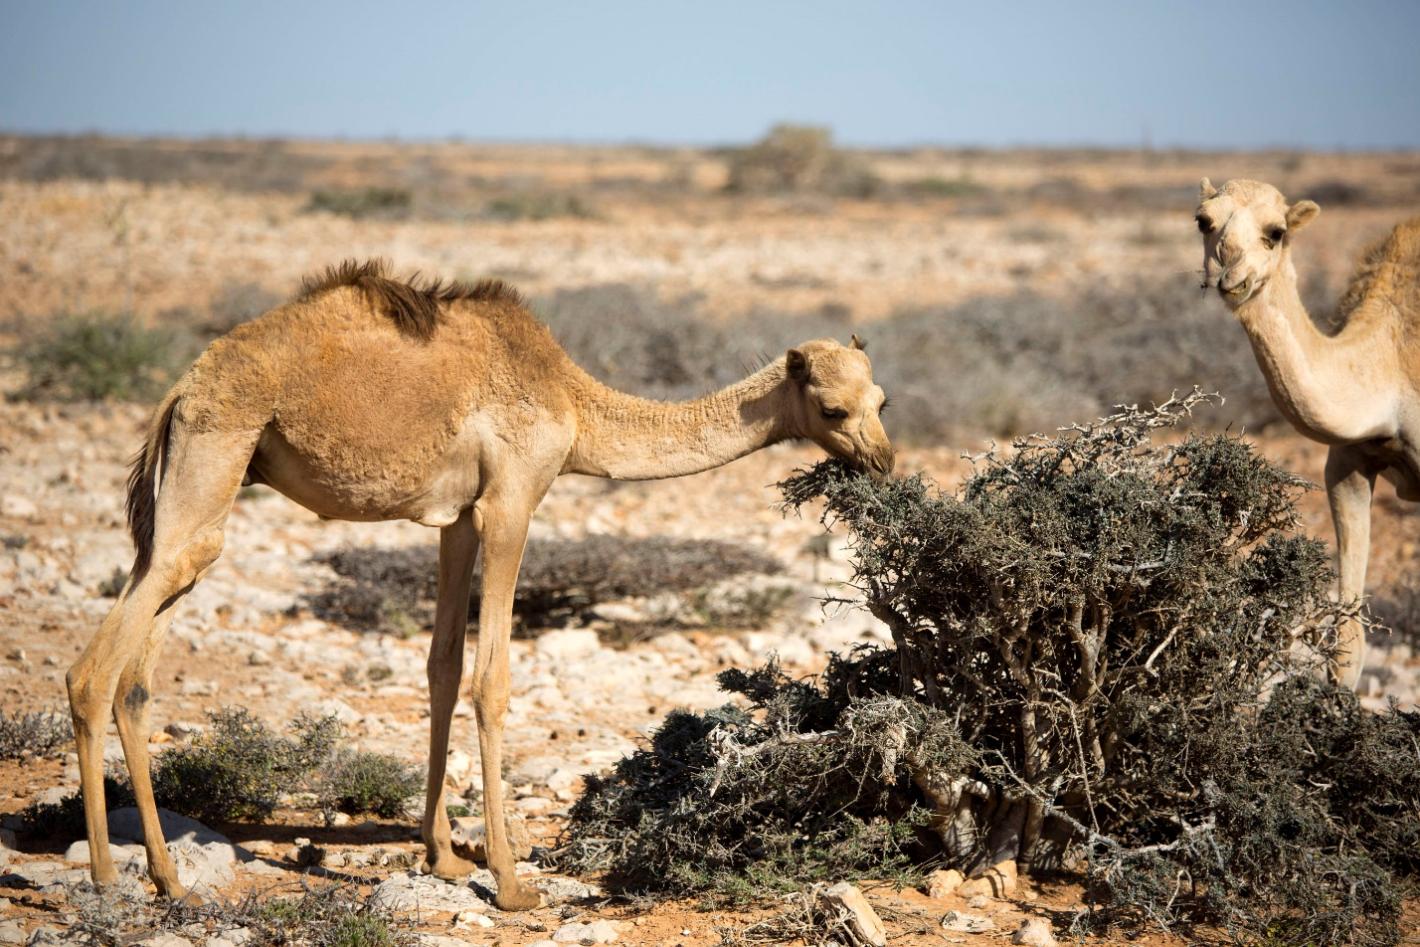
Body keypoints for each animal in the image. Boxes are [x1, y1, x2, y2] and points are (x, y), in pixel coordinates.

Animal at [66, 259, 891, 908]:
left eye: (882, 401)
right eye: (832, 406)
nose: (882, 461)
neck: (574, 402)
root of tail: (180, 390)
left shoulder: (458, 517)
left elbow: (442, 664)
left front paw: (443, 855)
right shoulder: (512, 499)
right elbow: (490, 678)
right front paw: (510, 879)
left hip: (205, 487)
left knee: (139, 672)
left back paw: (169, 876)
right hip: (216, 457)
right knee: (94, 670)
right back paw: (106, 873)